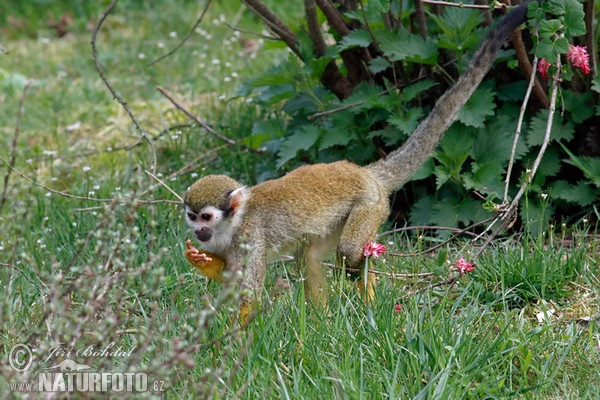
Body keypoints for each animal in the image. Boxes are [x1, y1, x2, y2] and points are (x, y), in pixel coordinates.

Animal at [182, 0, 536, 322]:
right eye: (192, 216)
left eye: (207, 217)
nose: (198, 231)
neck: (232, 226)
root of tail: (365, 173)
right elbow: (229, 278)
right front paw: (200, 260)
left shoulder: (249, 238)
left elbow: (249, 293)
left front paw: (236, 339)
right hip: (338, 219)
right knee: (310, 256)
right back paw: (321, 320)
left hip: (370, 205)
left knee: (350, 251)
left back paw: (364, 284)